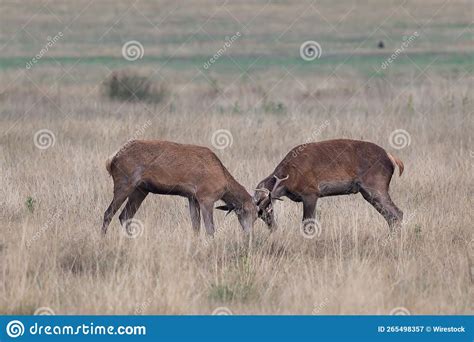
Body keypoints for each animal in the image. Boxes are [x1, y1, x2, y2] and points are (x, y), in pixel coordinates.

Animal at [102, 140, 258, 236]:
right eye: (247, 212)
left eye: (257, 216)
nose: (249, 235)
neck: (224, 183)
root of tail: (111, 160)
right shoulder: (206, 196)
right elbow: (210, 229)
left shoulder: (192, 197)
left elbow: (196, 227)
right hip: (124, 182)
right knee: (108, 213)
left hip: (141, 190)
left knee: (125, 216)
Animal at [254, 139, 406, 232]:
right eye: (259, 215)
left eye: (270, 210)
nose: (273, 228)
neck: (289, 178)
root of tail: (391, 158)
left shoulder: (311, 192)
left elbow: (308, 223)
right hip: (368, 192)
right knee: (390, 216)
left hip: (376, 186)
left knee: (397, 213)